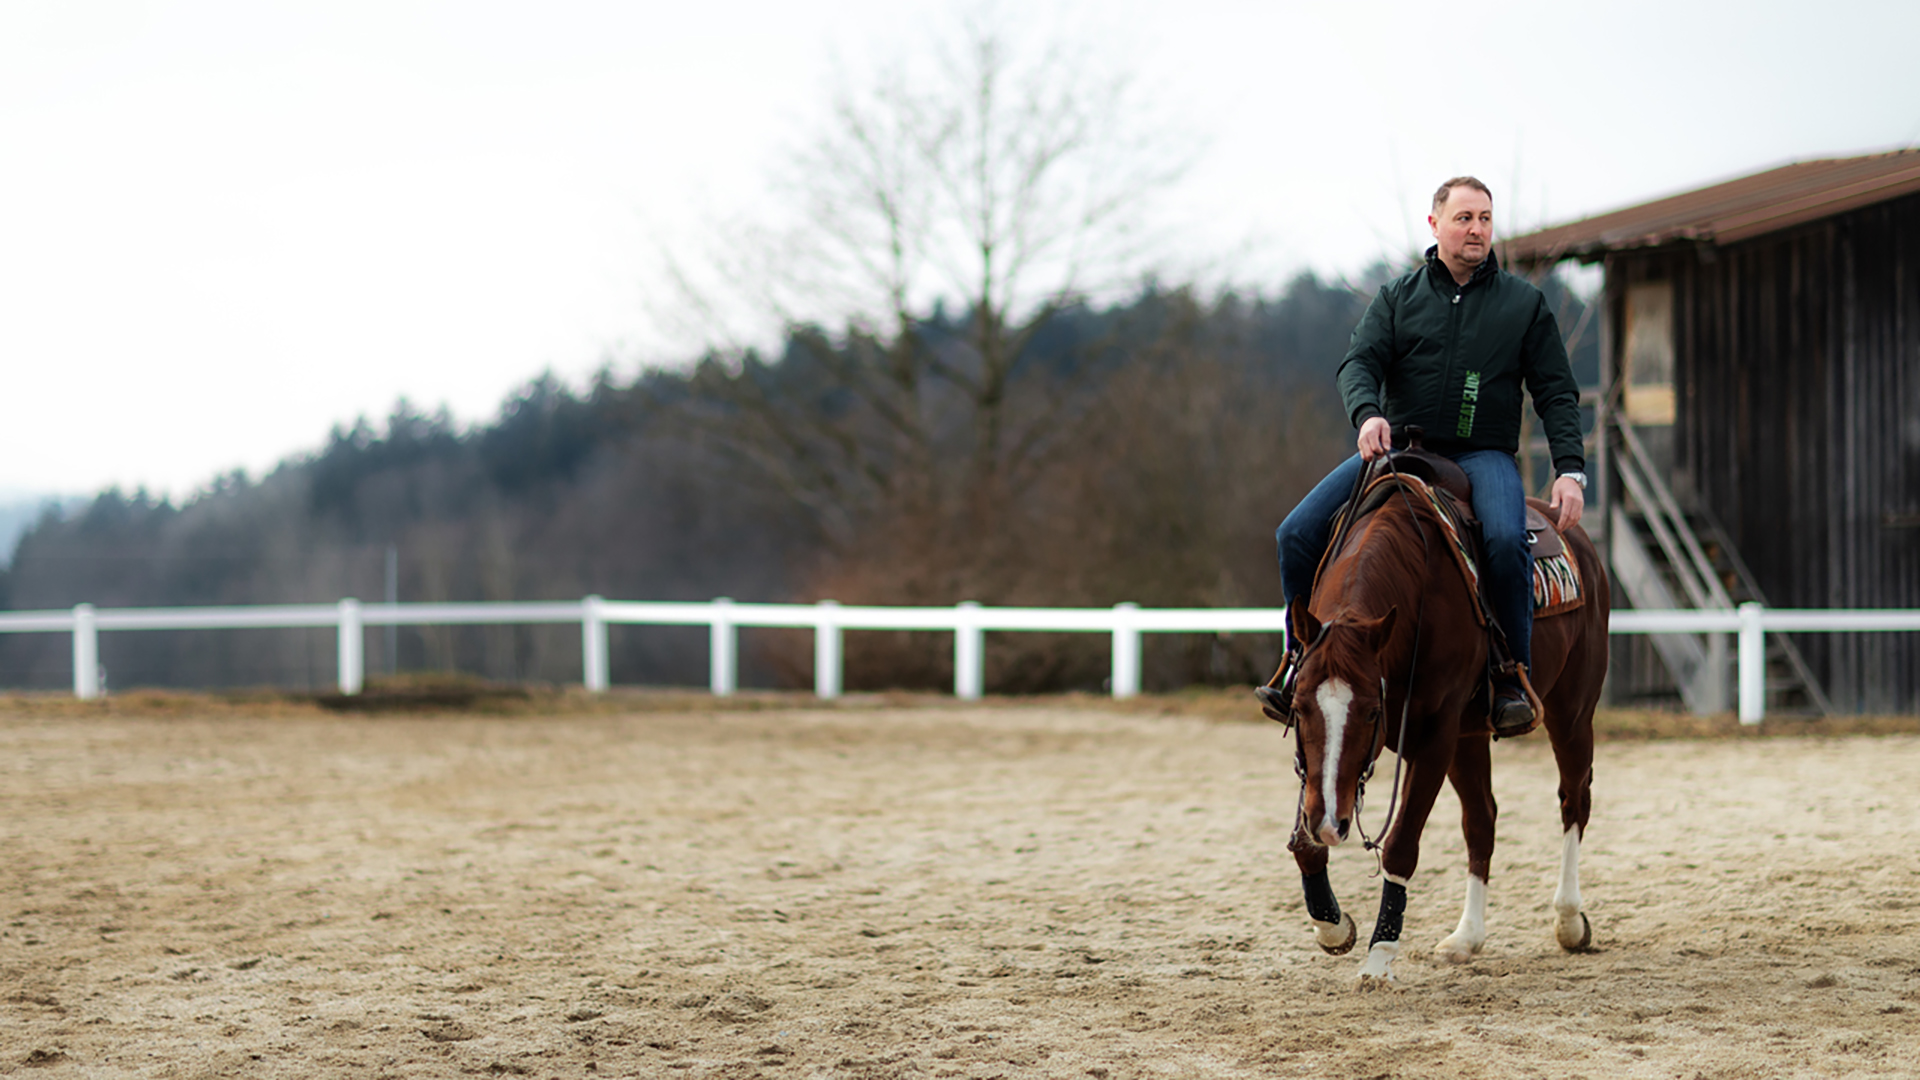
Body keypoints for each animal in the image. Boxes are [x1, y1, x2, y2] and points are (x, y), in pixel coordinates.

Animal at [1277, 453, 1609, 987]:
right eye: (1300, 706)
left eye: (1372, 710)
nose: (1332, 823)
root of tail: (1573, 534)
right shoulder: (1320, 765)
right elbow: (1304, 844)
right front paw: (1334, 927)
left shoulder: (1433, 737)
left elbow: (1400, 846)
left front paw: (1378, 958)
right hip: (1470, 736)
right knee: (1482, 819)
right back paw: (1466, 937)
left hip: (1572, 711)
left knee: (1573, 800)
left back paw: (1570, 921)